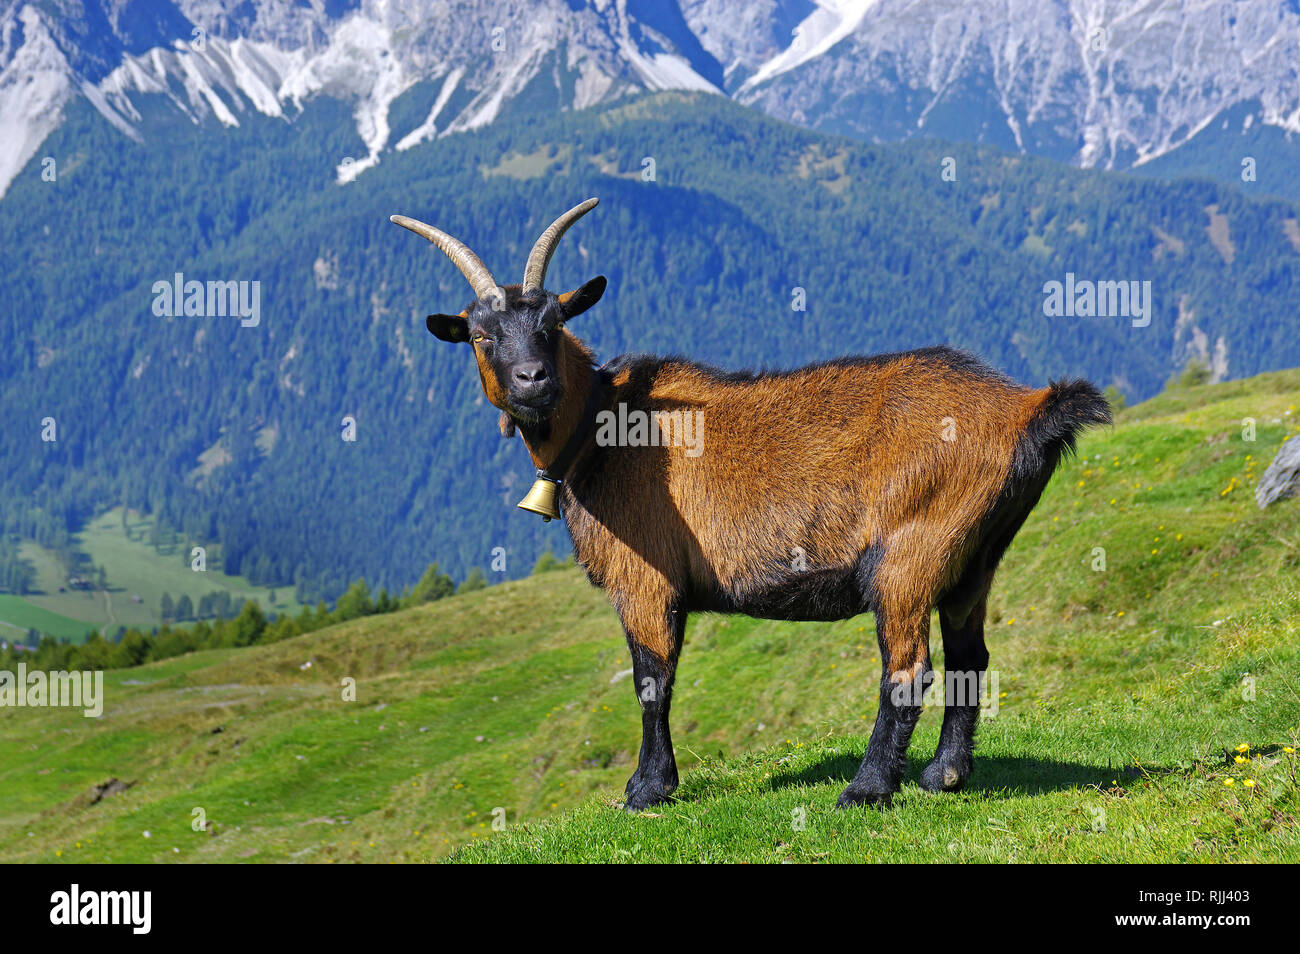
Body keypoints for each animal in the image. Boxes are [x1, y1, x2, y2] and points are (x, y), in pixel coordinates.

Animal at [391, 198, 1111, 811]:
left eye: (553, 323)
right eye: (481, 335)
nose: (532, 380)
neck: (603, 426)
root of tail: (1026, 408)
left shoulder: (644, 581)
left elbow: (652, 679)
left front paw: (647, 789)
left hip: (911, 552)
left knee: (908, 670)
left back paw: (866, 789)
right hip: (974, 559)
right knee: (969, 658)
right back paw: (945, 776)